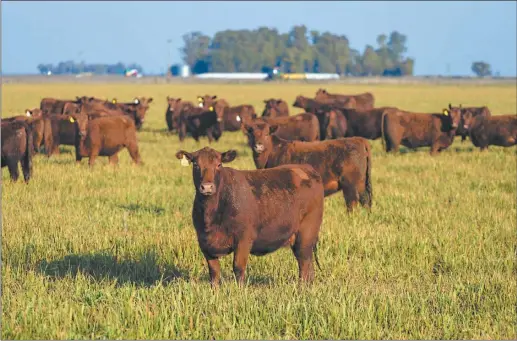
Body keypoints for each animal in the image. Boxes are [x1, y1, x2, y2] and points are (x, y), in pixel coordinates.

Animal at [175, 146, 324, 284]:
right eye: (196, 164)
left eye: (219, 165)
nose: (207, 187)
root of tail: (305, 168)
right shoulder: (204, 242)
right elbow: (214, 272)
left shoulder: (244, 239)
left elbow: (238, 268)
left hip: (306, 235)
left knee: (304, 264)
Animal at [242, 121, 370, 211]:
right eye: (252, 134)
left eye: (266, 134)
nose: (258, 146)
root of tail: (358, 139)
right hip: (361, 185)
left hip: (350, 185)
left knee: (352, 204)